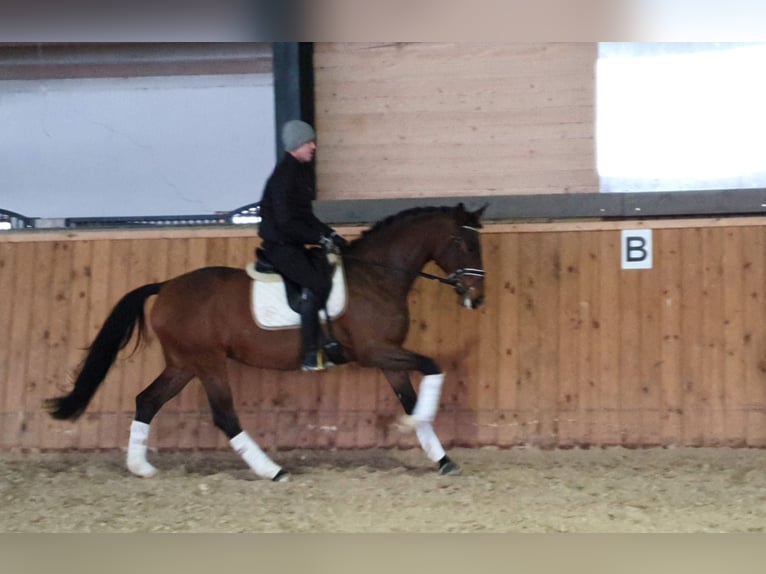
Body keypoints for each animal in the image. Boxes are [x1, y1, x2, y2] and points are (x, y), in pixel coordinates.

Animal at [48, 202, 488, 482]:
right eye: (467, 244)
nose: (477, 298)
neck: (376, 276)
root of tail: (167, 286)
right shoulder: (374, 351)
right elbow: (433, 367)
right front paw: (413, 426)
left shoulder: (386, 356)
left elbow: (411, 397)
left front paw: (441, 458)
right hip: (208, 362)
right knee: (224, 416)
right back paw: (272, 470)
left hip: (183, 364)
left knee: (147, 401)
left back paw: (141, 468)